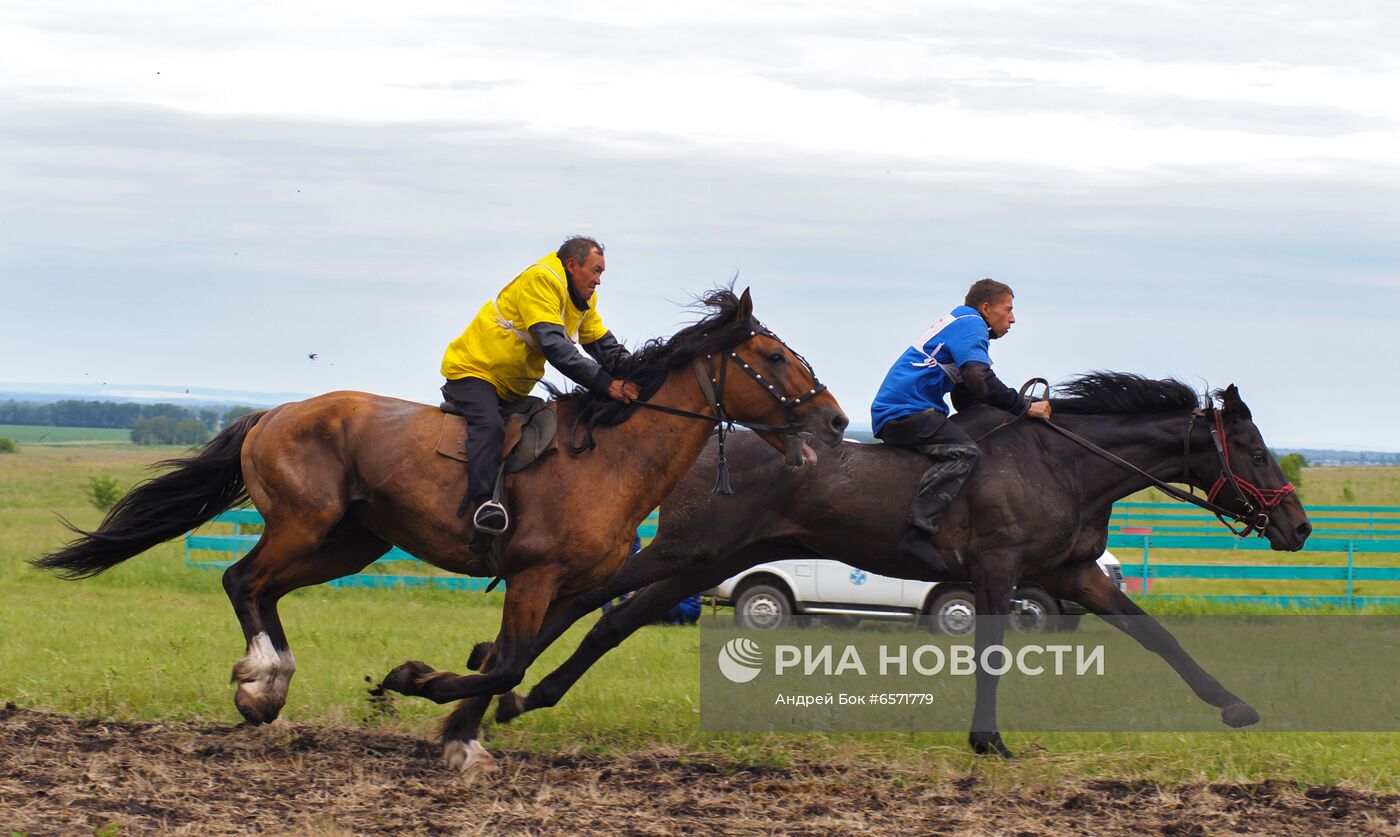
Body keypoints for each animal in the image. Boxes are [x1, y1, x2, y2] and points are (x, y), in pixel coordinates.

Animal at [35, 289, 840, 772]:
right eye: (772, 357)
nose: (834, 421)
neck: (611, 456)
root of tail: (274, 411)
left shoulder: (569, 586)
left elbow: (516, 658)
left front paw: (461, 733)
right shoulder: (534, 575)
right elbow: (507, 663)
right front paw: (416, 683)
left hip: (351, 542)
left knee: (264, 588)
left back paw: (268, 686)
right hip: (305, 521)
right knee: (242, 578)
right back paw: (259, 678)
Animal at [408, 377, 1304, 772]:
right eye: (1256, 451)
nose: (1297, 526)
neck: (1064, 463)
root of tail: (708, 450)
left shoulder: (1076, 574)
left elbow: (1158, 638)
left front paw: (1236, 706)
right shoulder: (999, 571)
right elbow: (990, 657)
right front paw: (988, 737)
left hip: (710, 557)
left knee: (614, 619)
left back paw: (514, 695)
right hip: (683, 550)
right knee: (578, 600)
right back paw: (470, 683)